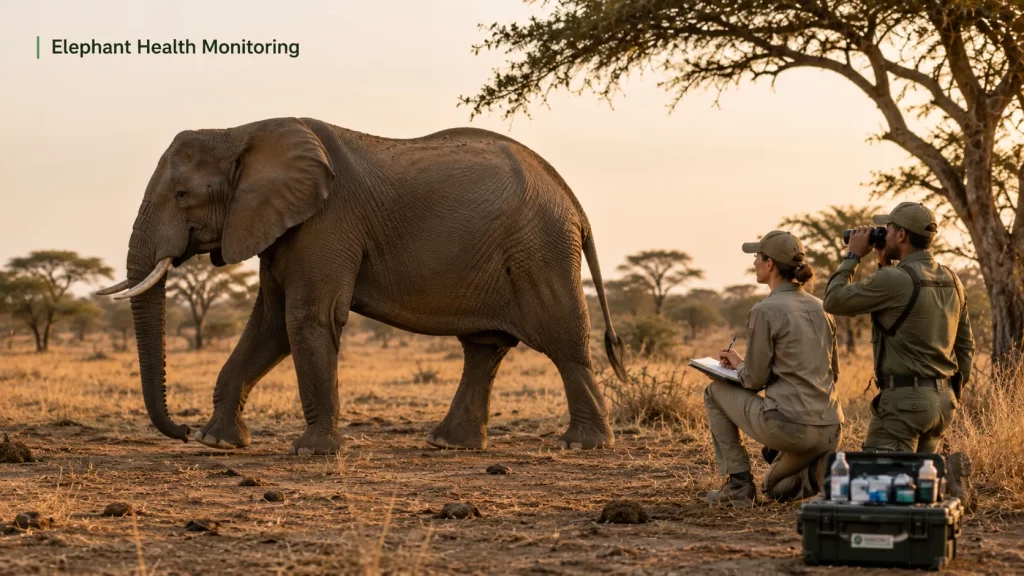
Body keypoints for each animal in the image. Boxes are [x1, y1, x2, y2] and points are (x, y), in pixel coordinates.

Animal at [96, 117, 628, 455]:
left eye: (183, 194)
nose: (182, 430)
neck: (241, 132)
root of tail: (572, 201)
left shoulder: (327, 221)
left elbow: (306, 318)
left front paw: (312, 453)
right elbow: (270, 325)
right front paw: (217, 442)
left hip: (540, 246)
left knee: (562, 340)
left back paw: (583, 445)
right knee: (484, 347)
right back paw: (448, 444)